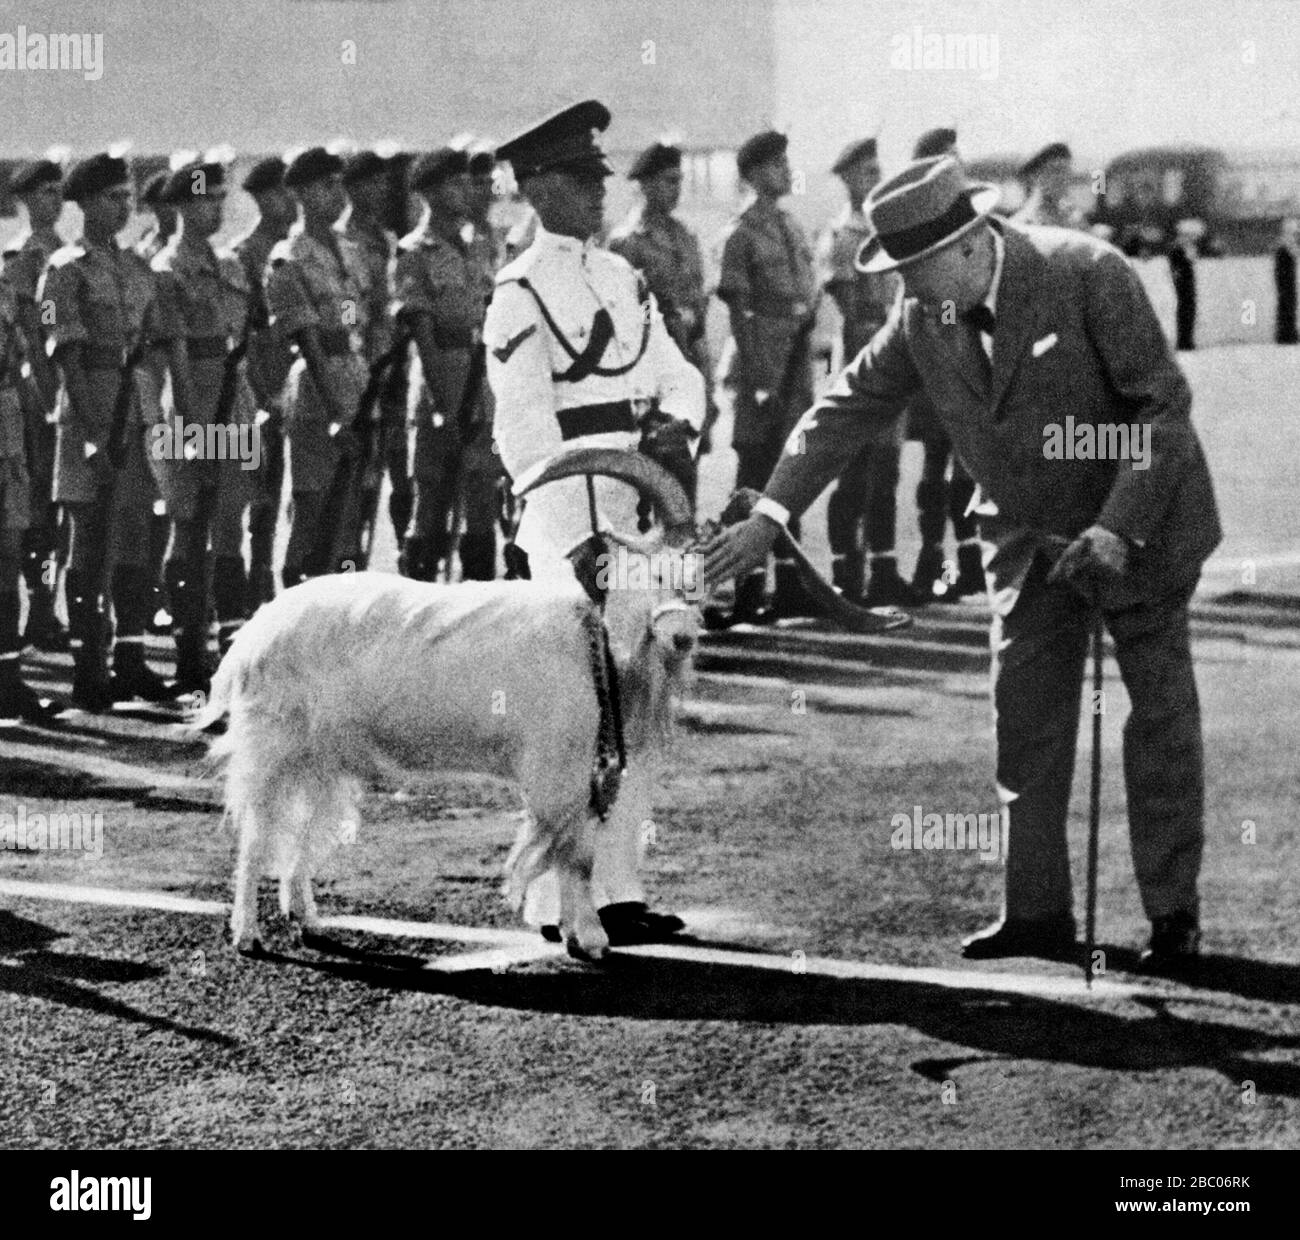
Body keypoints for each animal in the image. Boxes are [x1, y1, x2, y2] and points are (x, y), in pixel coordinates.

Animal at [192, 449, 696, 961]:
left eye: (689, 579)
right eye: (648, 575)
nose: (682, 637)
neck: (588, 639)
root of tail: (251, 636)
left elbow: (572, 849)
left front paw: (577, 934)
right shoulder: (557, 768)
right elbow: (574, 855)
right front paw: (591, 939)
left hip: (322, 759)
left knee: (304, 831)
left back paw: (307, 921)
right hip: (273, 746)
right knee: (256, 835)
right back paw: (248, 935)